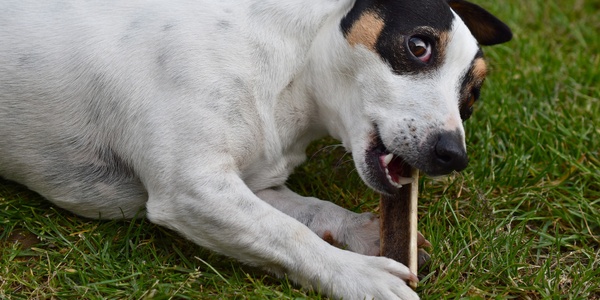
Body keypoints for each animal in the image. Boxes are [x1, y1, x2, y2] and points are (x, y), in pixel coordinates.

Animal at [0, 0, 510, 298]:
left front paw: (365, 234)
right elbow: (289, 235)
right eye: (419, 45)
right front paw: (361, 275)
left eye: (472, 98)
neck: (290, 73)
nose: (454, 155)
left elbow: (311, 212)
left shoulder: (254, 186)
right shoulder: (193, 189)